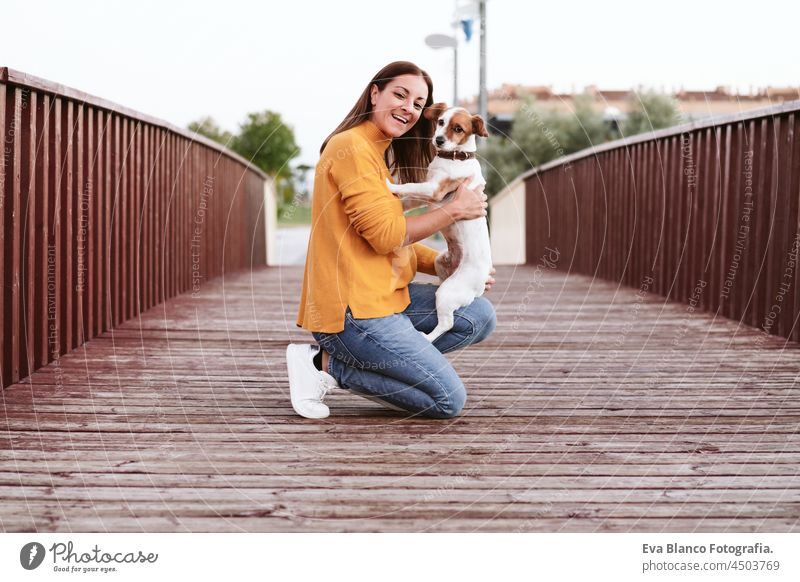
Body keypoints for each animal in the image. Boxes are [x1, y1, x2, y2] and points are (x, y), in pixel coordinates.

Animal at [388, 102, 494, 344]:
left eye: (458, 129)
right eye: (441, 122)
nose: (438, 140)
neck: (454, 157)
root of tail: (480, 284)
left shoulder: (433, 189)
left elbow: (408, 186)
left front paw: (390, 186)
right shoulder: (426, 193)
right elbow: (408, 200)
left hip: (448, 294)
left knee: (447, 323)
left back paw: (427, 338)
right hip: (441, 262)